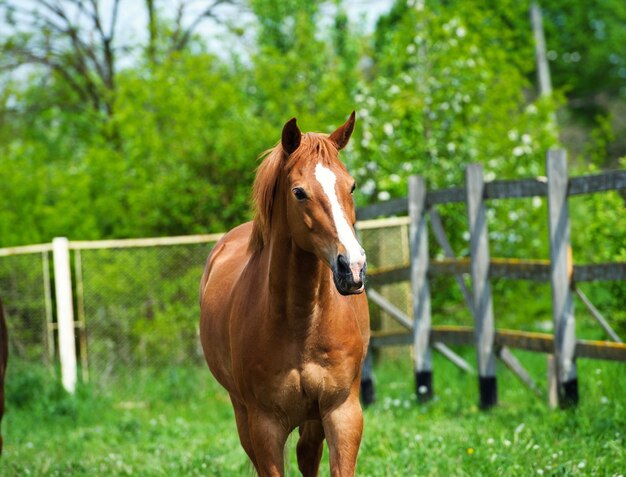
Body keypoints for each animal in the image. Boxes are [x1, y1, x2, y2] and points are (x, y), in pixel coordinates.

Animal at [200, 113, 368, 474]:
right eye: (299, 192)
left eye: (351, 186)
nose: (353, 267)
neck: (302, 322)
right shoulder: (264, 426)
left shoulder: (342, 413)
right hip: (242, 413)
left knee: (307, 454)